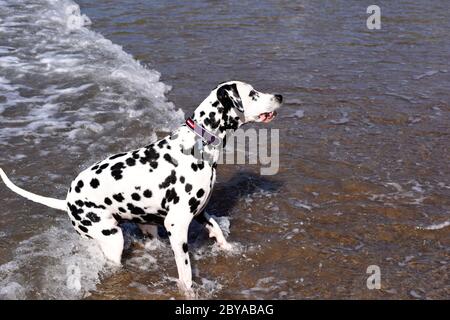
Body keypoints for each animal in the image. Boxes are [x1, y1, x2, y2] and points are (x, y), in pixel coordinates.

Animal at [0, 80, 282, 296]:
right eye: (252, 93)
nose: (279, 96)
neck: (198, 144)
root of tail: (68, 201)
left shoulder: (200, 212)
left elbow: (219, 234)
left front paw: (232, 251)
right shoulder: (177, 225)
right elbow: (186, 273)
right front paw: (189, 292)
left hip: (142, 225)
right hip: (112, 239)